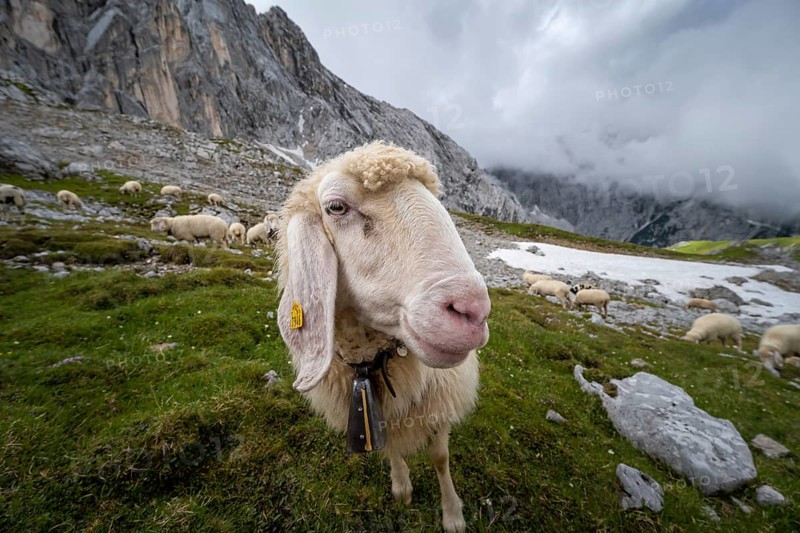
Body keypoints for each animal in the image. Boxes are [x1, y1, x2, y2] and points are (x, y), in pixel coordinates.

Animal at [276, 141, 490, 532]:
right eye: (336, 207)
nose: (472, 310)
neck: (369, 363)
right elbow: (389, 445)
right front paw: (401, 486)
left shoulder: (438, 403)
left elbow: (440, 456)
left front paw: (452, 514)